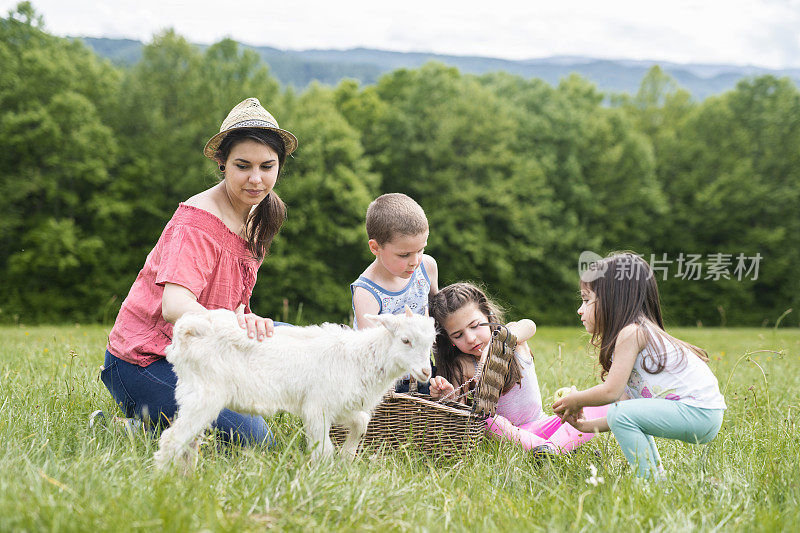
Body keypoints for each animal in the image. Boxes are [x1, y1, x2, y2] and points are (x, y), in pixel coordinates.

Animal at [153, 304, 434, 470]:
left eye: (431, 342)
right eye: (405, 340)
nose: (426, 372)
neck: (360, 356)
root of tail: (187, 331)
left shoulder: (340, 404)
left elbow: (361, 422)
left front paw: (346, 458)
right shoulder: (317, 407)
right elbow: (323, 449)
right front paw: (322, 477)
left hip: (195, 395)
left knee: (189, 442)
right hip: (205, 395)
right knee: (172, 439)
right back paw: (164, 482)